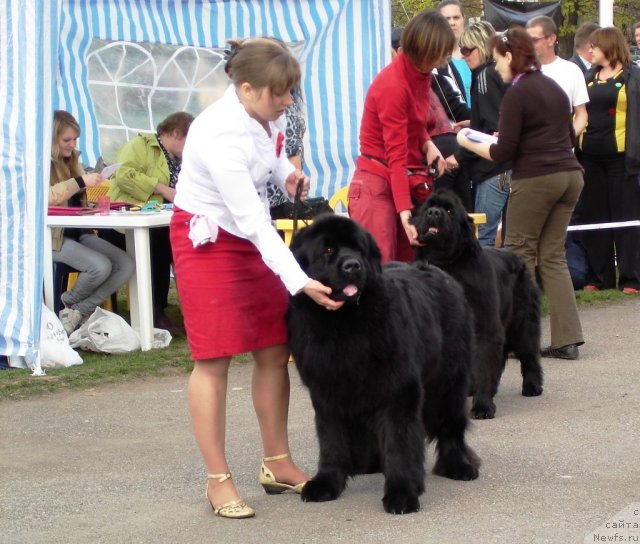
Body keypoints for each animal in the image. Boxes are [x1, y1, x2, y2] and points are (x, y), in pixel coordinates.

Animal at [288, 214, 478, 516]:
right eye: (328, 250)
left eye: (358, 249)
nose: (352, 265)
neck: (343, 326)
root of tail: (441, 274)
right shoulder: (327, 392)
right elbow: (331, 440)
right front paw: (326, 483)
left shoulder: (398, 390)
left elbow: (399, 443)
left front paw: (401, 494)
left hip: (448, 379)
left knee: (451, 425)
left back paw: (459, 466)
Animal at [412, 188, 544, 420]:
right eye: (429, 206)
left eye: (449, 210)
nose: (434, 212)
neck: (448, 265)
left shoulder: (485, 326)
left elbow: (484, 366)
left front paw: (483, 406)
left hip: (523, 321)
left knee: (529, 354)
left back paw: (532, 386)